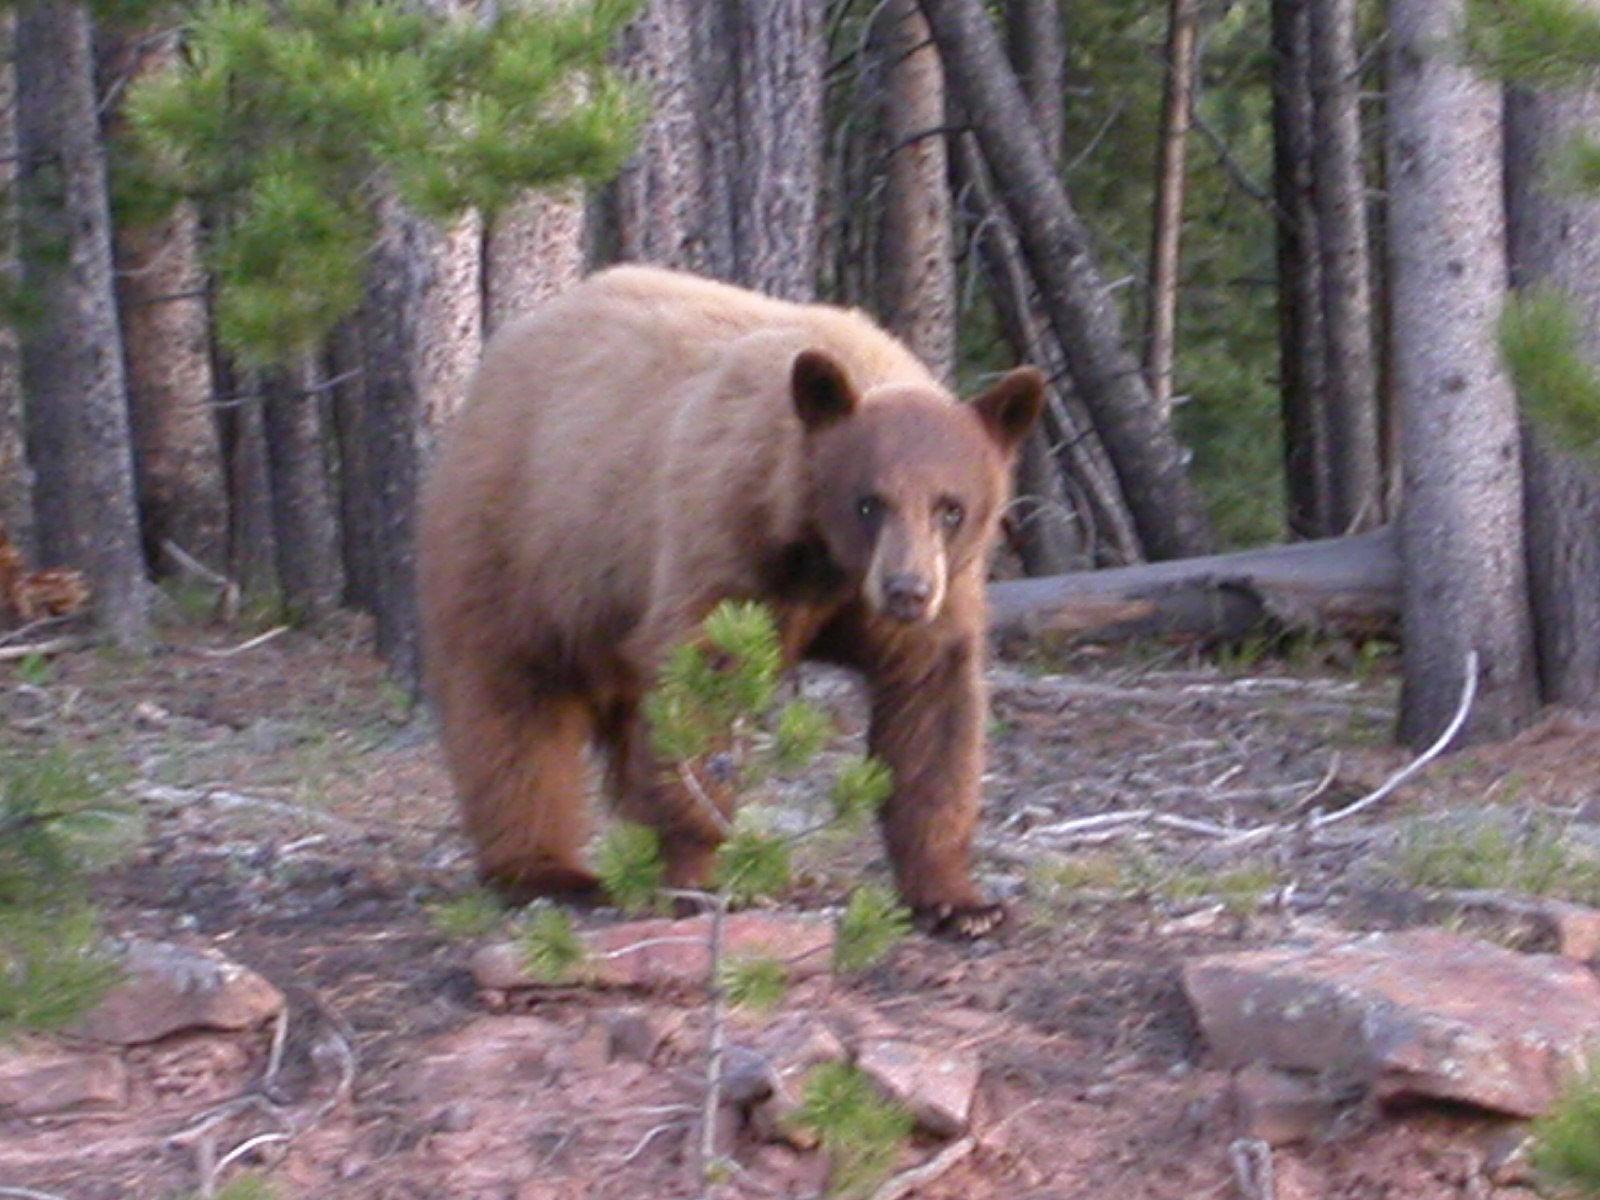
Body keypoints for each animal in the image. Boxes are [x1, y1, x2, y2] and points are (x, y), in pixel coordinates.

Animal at [418, 265, 1044, 935]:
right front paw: (700, 877)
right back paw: (544, 869)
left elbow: (932, 712)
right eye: (869, 503)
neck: (820, 556)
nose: (907, 590)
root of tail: (502, 352)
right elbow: (701, 695)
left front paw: (959, 900)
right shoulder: (725, 535)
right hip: (519, 546)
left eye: (951, 508)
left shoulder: (933, 603)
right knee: (513, 704)